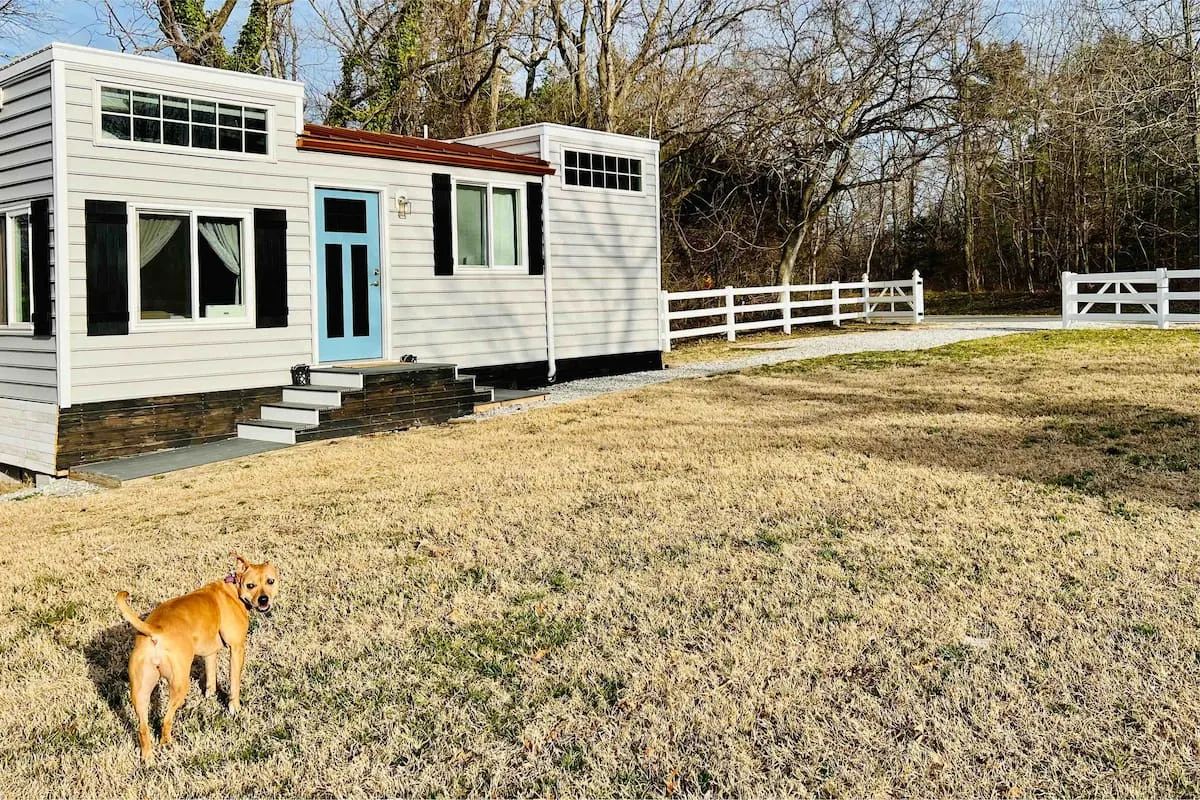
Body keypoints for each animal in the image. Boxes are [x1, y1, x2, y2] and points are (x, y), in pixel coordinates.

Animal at [115, 551, 278, 762]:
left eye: (270, 581)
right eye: (251, 585)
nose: (264, 600)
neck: (234, 590)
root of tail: (154, 630)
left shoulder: (210, 653)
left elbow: (210, 677)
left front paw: (209, 696)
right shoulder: (237, 649)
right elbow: (234, 683)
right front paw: (234, 708)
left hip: (140, 691)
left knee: (143, 728)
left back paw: (148, 757)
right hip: (179, 684)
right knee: (166, 719)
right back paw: (168, 744)